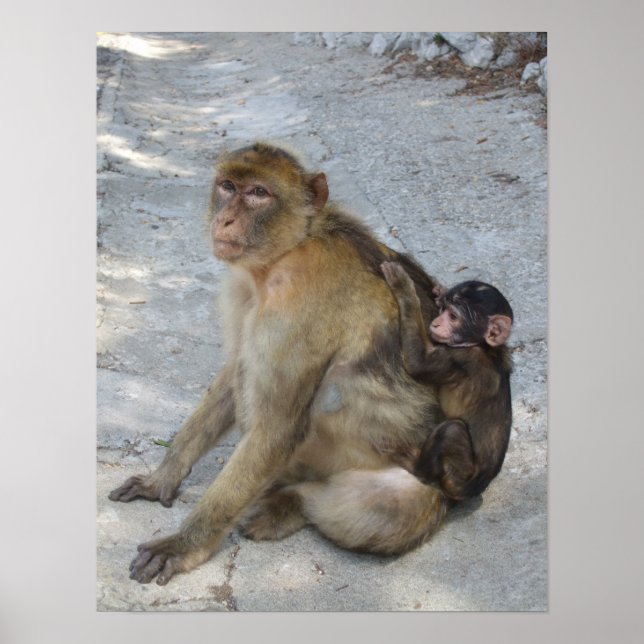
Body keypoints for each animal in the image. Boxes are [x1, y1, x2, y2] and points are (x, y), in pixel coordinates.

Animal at [109, 142, 449, 585]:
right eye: (228, 186)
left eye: (258, 193)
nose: (225, 218)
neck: (285, 254)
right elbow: (232, 371)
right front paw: (163, 477)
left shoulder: (300, 309)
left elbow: (278, 424)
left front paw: (185, 544)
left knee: (389, 512)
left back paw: (293, 504)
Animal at [381, 261, 513, 501]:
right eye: (443, 310)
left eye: (453, 316)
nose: (437, 322)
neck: (481, 346)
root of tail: (474, 488)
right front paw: (439, 290)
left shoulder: (461, 358)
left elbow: (417, 362)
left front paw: (403, 286)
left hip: (459, 472)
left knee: (451, 430)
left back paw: (416, 467)